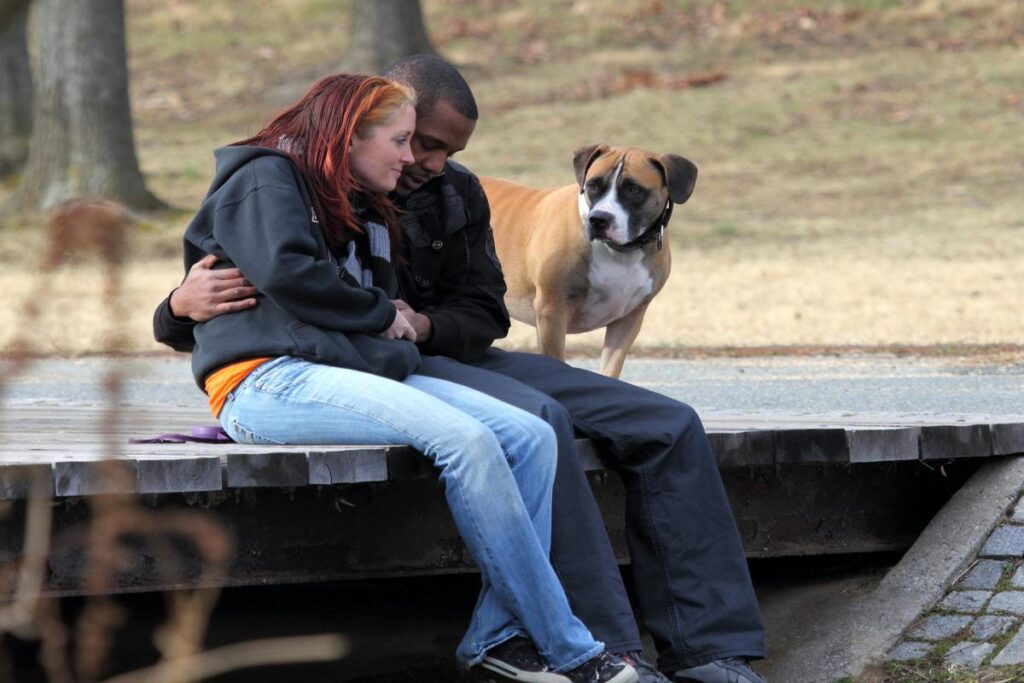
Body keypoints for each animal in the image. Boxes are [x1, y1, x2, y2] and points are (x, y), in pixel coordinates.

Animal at [481, 145, 696, 378]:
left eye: (634, 189)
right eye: (593, 185)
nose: (599, 219)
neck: (620, 252)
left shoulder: (629, 319)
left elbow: (610, 369)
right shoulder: (552, 312)